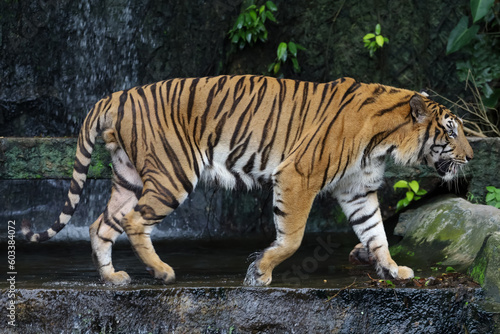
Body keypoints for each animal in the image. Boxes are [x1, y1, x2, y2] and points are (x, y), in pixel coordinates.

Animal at [21, 74, 474, 286]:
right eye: (452, 132)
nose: (472, 155)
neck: (385, 140)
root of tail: (117, 94)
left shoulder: (357, 189)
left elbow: (375, 232)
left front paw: (393, 269)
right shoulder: (297, 176)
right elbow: (292, 237)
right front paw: (261, 271)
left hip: (130, 176)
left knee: (100, 224)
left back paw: (112, 278)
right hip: (172, 173)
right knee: (132, 222)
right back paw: (162, 272)